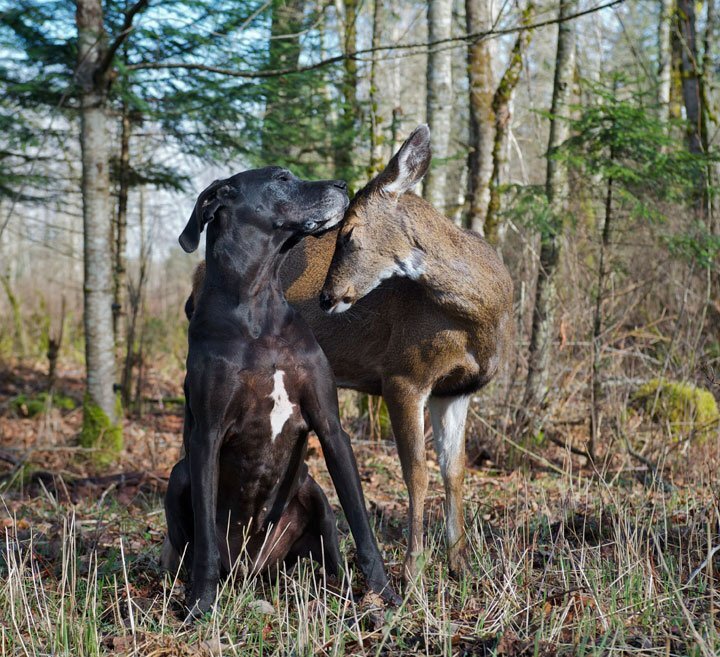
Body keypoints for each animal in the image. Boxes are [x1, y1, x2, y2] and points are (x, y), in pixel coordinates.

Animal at [163, 167, 396, 616]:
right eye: (282, 178)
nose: (342, 185)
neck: (259, 308)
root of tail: (251, 568)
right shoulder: (206, 436)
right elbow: (204, 538)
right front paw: (201, 604)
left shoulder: (330, 425)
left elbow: (361, 522)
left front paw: (384, 593)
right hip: (179, 477)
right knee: (192, 545)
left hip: (311, 491)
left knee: (329, 549)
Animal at [188, 124, 516, 580]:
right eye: (337, 234)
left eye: (349, 233)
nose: (327, 296)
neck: (483, 315)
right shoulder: (404, 374)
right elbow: (416, 472)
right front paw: (414, 573)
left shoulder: (456, 390)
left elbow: (454, 471)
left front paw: (460, 566)